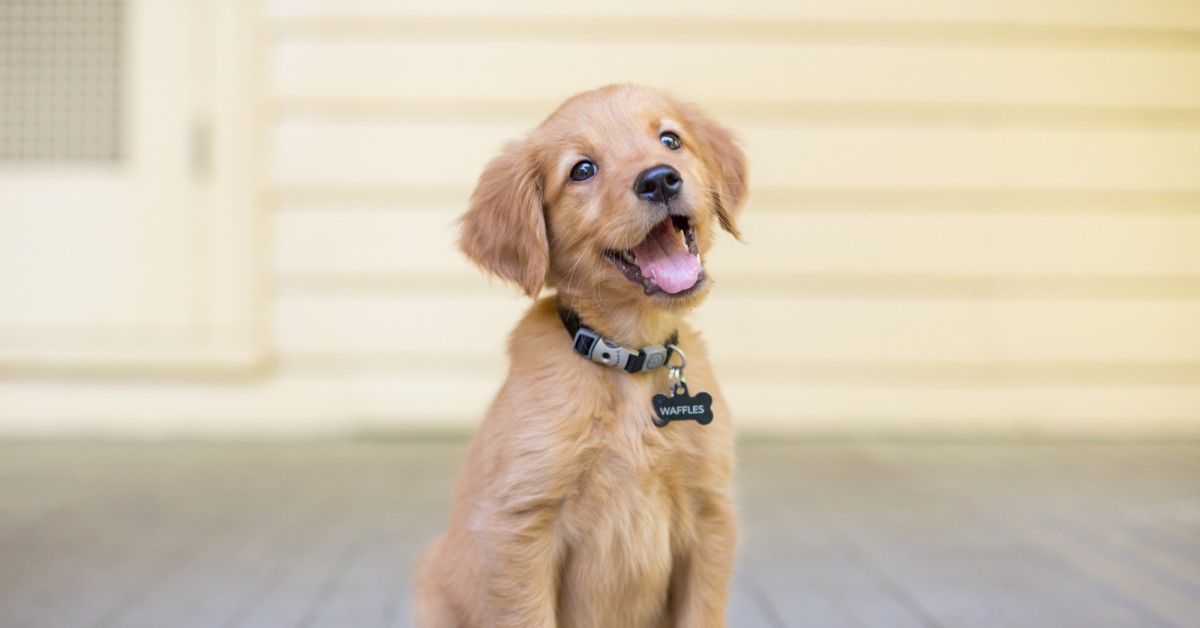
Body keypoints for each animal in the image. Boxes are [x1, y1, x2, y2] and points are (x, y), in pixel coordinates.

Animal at [417, 84, 744, 628]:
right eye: (582, 170)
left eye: (671, 139)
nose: (660, 179)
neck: (629, 360)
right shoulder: (521, 526)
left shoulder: (710, 517)